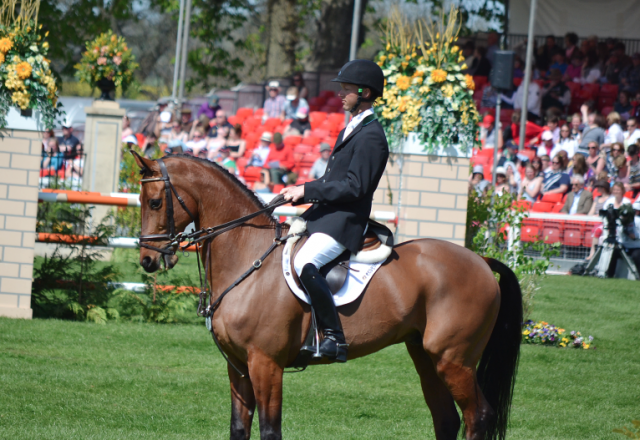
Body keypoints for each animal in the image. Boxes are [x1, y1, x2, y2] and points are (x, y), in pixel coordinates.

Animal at [132, 152, 524, 440]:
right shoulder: (238, 366)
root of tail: (480, 260)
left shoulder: (266, 364)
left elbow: (270, 431)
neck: (247, 256)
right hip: (426, 356)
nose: (148, 260)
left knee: (477, 416)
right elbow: (239, 429)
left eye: (155, 203)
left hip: (454, 359)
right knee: (446, 419)